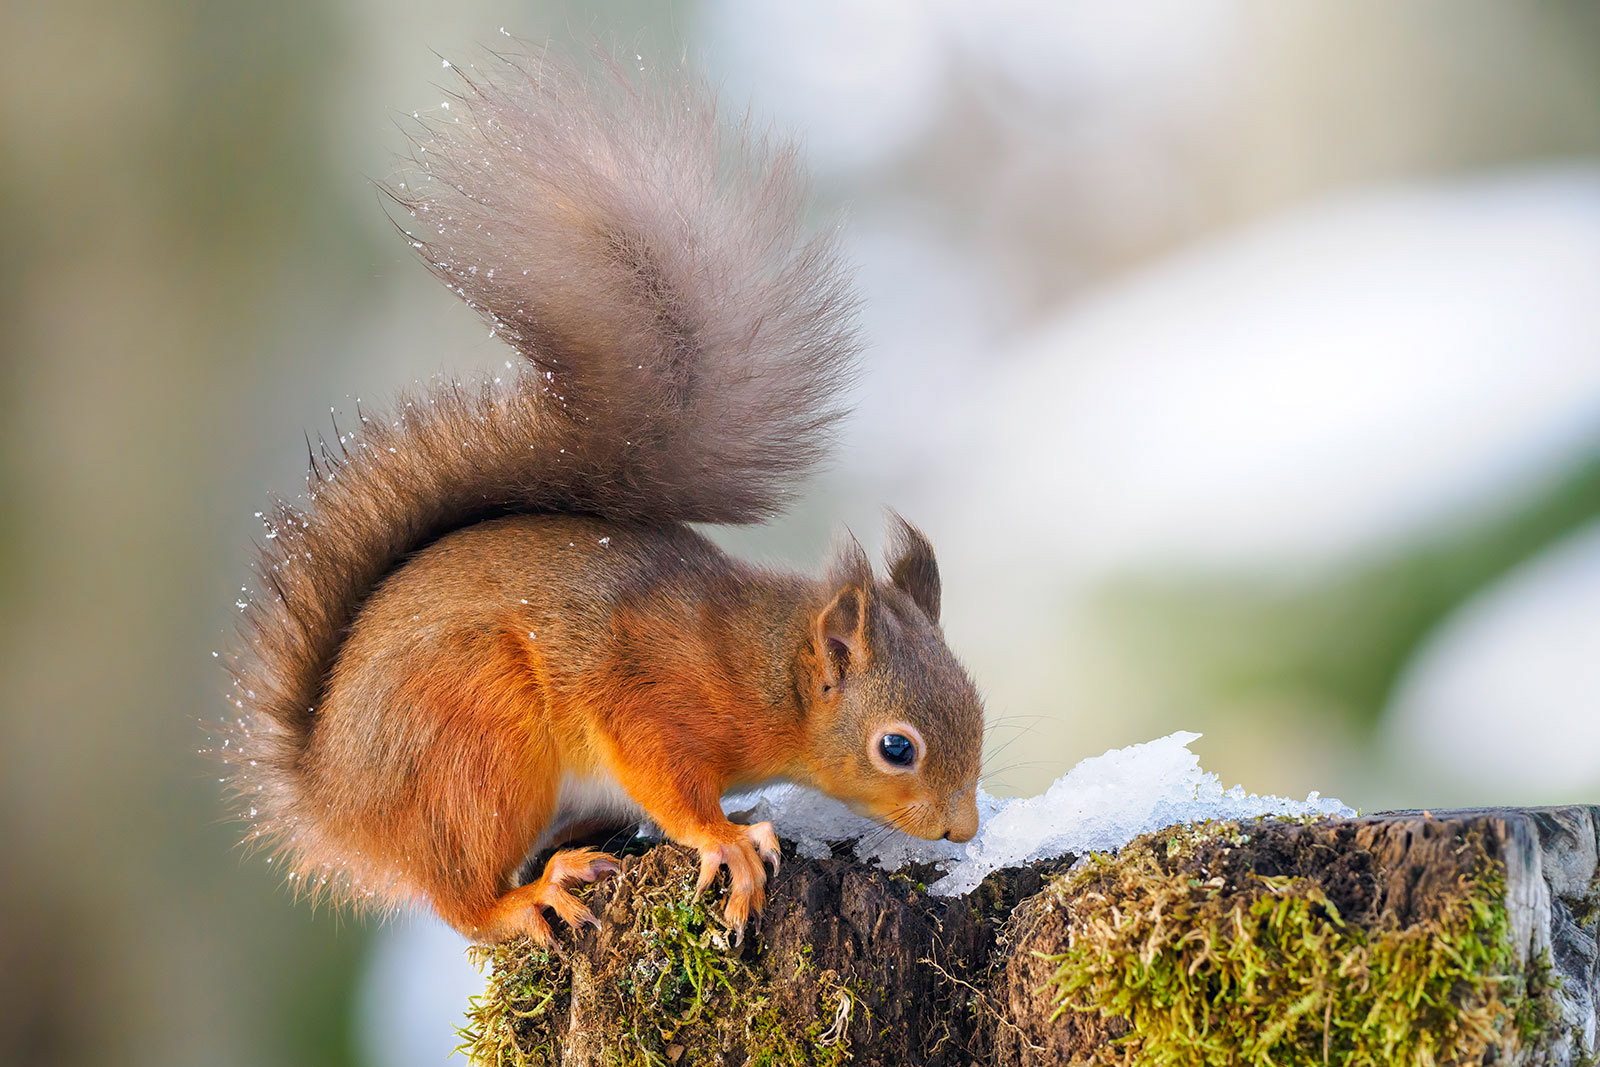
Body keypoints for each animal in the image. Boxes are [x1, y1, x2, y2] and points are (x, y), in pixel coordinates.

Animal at [218, 50, 985, 947]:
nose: (962, 827)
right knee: (461, 901)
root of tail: (332, 798)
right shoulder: (650, 697)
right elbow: (667, 778)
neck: (759, 667)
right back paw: (535, 890)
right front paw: (729, 839)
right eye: (897, 747)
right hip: (476, 750)